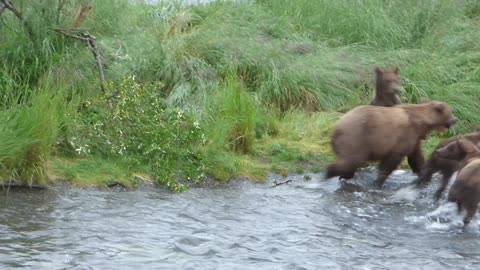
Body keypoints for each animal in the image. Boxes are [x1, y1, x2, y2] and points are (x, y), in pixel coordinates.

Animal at [324, 100, 456, 188]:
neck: (421, 123)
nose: (455, 119)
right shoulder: (403, 136)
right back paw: (330, 174)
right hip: (356, 137)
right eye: (451, 112)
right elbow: (391, 160)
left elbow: (416, 158)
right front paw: (378, 182)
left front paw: (424, 176)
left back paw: (344, 177)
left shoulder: (415, 138)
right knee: (351, 160)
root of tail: (336, 127)